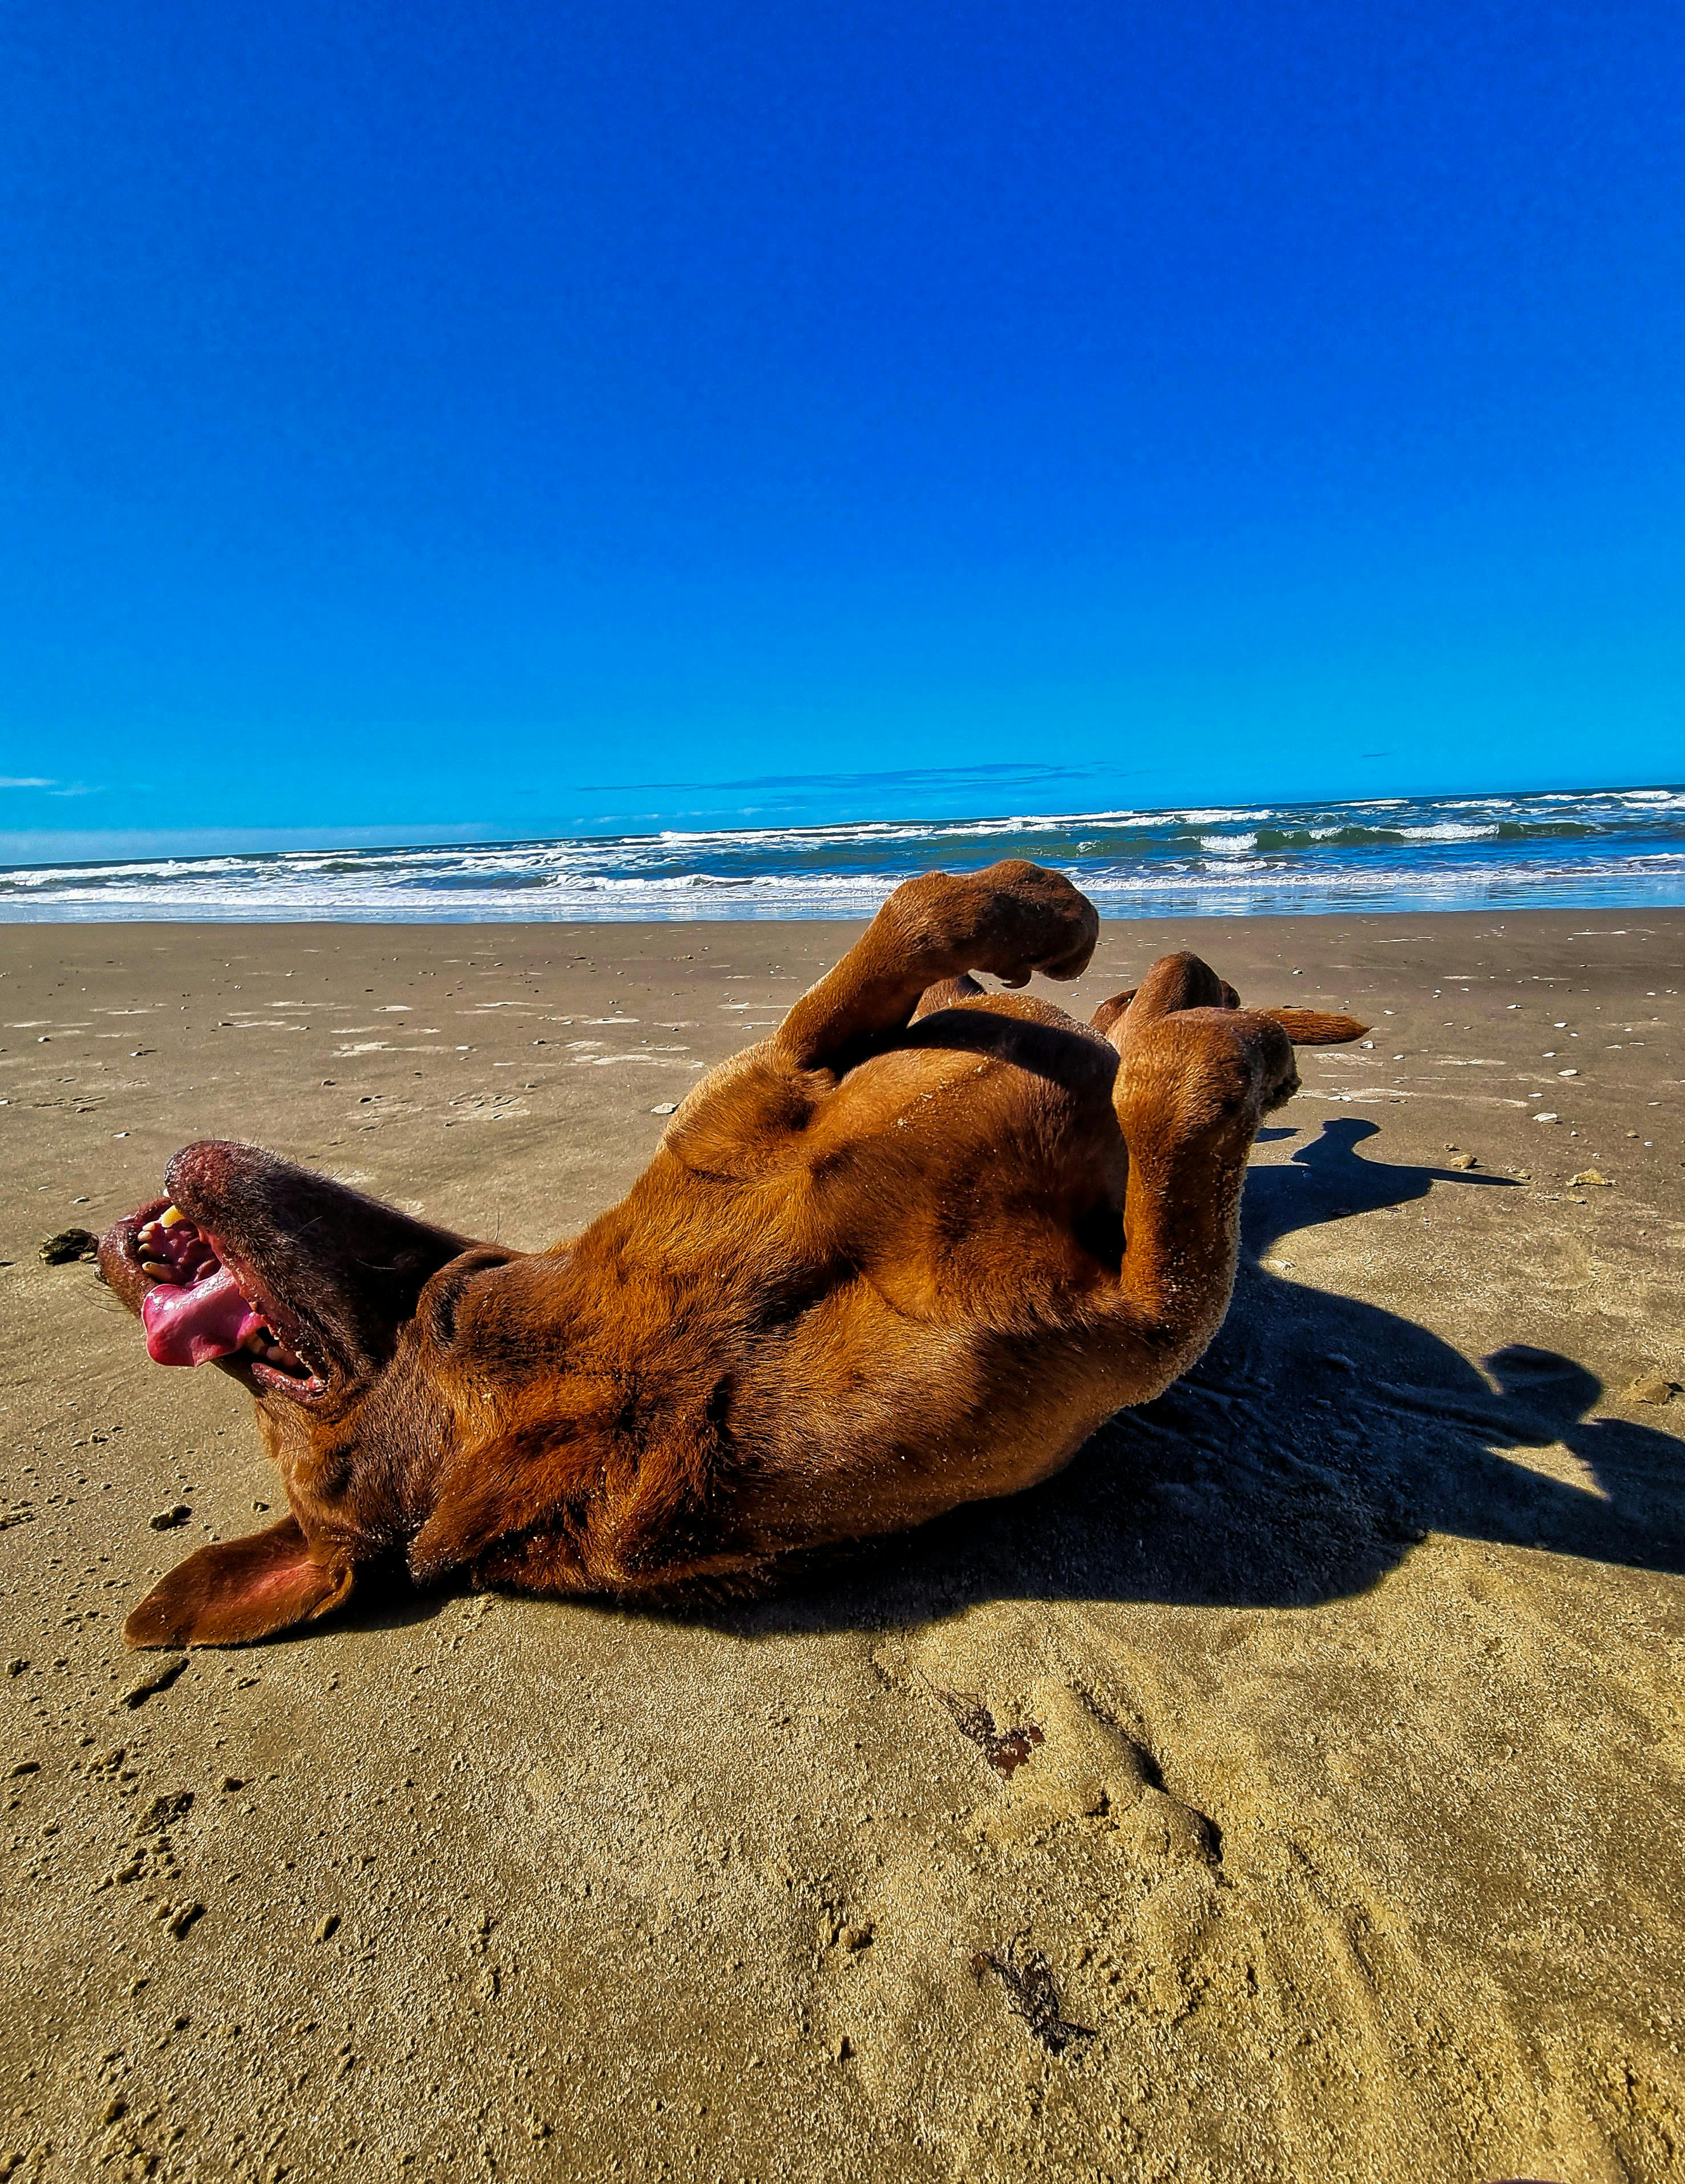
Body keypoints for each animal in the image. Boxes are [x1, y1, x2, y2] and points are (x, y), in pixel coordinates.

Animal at [95, 860, 1371, 1642]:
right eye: (276, 1394)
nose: (114, 1258)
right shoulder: (1134, 1321)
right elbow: (1184, 1096)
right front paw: (1210, 1050)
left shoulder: (794, 1061)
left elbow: (914, 917)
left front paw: (1039, 913)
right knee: (1165, 1010)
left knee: (1133, 995)